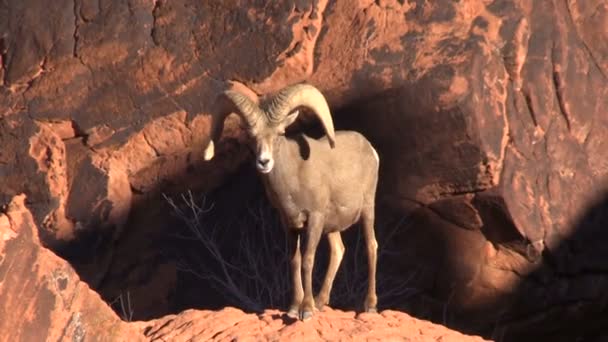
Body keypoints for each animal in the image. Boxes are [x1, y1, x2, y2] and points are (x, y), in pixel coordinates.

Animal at [204, 82, 380, 320]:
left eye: (280, 133)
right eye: (251, 135)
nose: (264, 162)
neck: (294, 177)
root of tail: (370, 149)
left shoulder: (314, 219)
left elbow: (308, 260)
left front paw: (306, 310)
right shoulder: (290, 224)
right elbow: (294, 261)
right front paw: (294, 308)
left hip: (367, 210)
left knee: (371, 246)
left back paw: (369, 305)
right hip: (332, 226)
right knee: (338, 250)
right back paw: (321, 302)